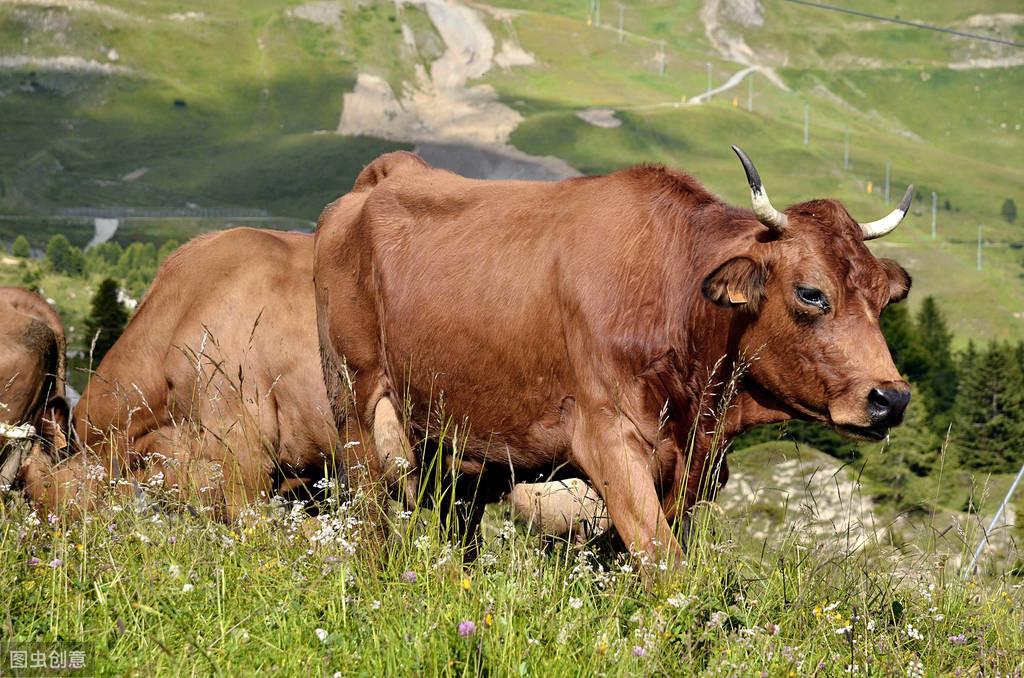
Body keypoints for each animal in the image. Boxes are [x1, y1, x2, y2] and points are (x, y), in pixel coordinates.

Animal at [315, 148, 917, 569]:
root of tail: (385, 176)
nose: (891, 398)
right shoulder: (607, 439)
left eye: (883, 298)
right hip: (355, 407)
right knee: (370, 521)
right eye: (812, 293)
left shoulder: (695, 468)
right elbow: (663, 564)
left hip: (459, 446)